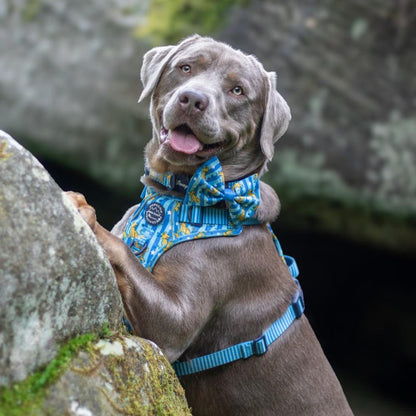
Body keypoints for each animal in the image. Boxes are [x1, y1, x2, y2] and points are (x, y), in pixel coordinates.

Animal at [67, 34, 352, 414]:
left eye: (237, 90)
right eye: (186, 67)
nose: (193, 99)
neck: (177, 197)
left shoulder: (175, 322)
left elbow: (126, 255)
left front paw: (82, 207)